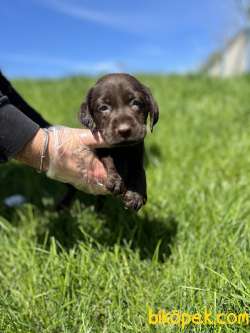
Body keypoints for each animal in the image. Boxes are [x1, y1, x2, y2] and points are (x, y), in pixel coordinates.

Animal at [79, 74, 159, 211]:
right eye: (103, 108)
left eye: (136, 103)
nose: (124, 130)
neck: (122, 149)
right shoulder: (100, 147)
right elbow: (108, 159)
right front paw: (116, 180)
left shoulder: (137, 153)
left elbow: (139, 171)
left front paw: (136, 195)